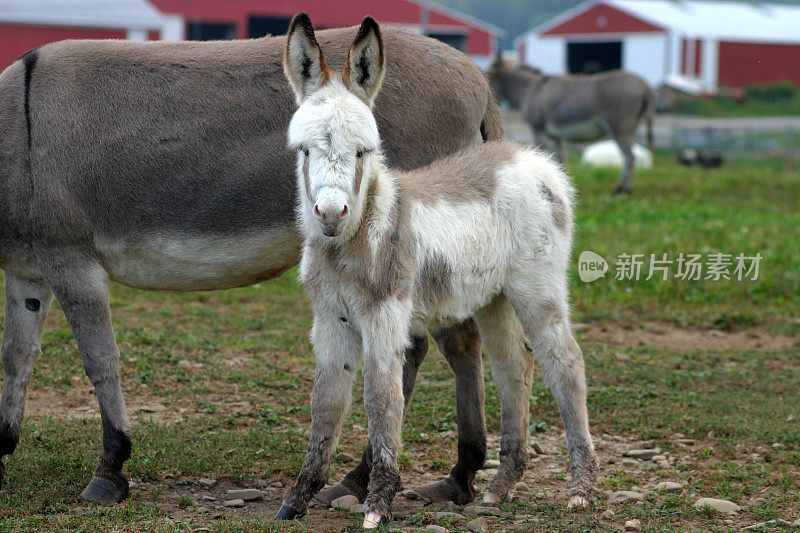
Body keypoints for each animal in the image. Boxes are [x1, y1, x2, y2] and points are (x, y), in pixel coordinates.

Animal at [278, 14, 596, 524]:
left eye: (364, 151)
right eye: (304, 150)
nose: (330, 214)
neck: (355, 240)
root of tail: (530, 158)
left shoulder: (385, 318)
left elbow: (382, 399)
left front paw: (378, 503)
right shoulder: (330, 319)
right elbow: (326, 401)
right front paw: (298, 497)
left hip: (537, 287)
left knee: (564, 362)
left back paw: (583, 488)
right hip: (493, 297)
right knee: (513, 365)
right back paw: (503, 484)